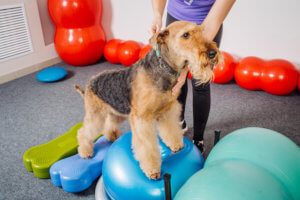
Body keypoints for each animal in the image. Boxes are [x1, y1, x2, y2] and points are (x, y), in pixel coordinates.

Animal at [74, 20, 221, 180]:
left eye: (201, 31)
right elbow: (147, 146)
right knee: (84, 132)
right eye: (186, 35)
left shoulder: (167, 110)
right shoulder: (142, 118)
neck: (163, 68)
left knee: (109, 124)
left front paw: (176, 145)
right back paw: (85, 151)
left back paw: (112, 137)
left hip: (117, 112)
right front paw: (152, 170)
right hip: (96, 115)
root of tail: (89, 84)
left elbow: (171, 130)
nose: (213, 53)